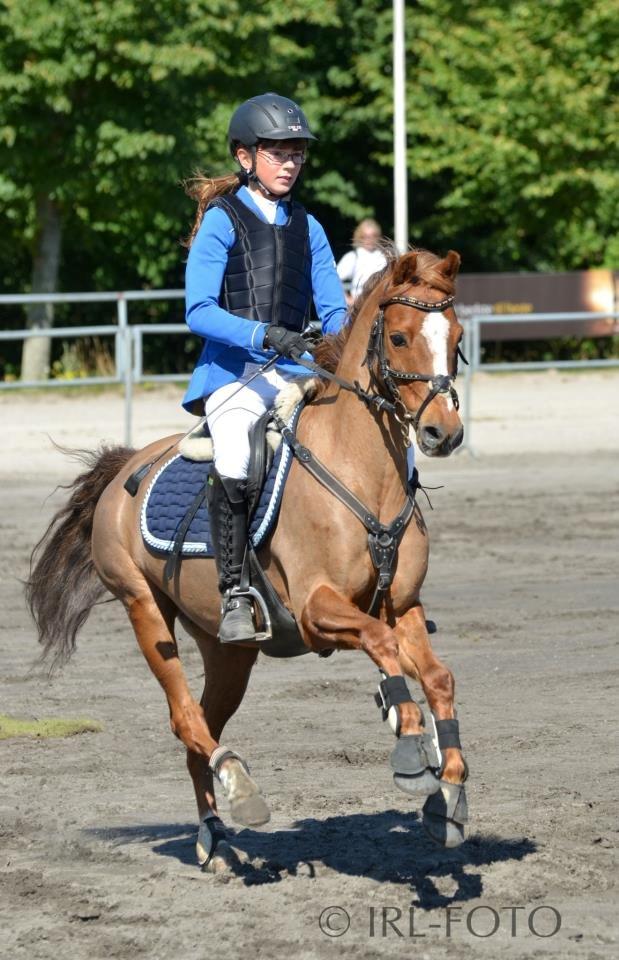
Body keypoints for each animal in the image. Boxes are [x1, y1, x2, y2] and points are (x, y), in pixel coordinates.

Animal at [27, 247, 469, 871]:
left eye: (455, 337)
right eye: (401, 337)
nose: (442, 433)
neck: (363, 472)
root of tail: (123, 468)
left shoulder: (401, 606)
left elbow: (436, 676)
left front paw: (449, 788)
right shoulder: (316, 609)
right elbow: (383, 650)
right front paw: (409, 746)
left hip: (228, 652)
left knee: (203, 727)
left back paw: (215, 830)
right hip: (145, 610)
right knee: (185, 718)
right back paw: (240, 789)